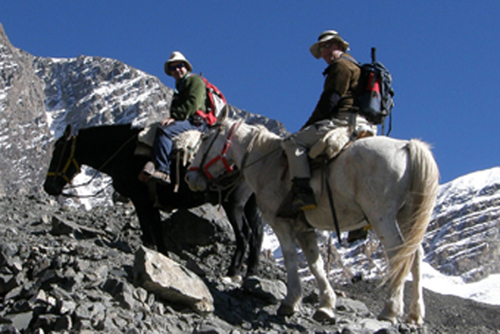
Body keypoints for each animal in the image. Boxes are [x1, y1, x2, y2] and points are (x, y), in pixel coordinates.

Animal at [43, 124, 264, 278]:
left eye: (58, 151)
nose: (48, 187)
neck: (122, 152)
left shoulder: (140, 199)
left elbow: (149, 231)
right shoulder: (150, 202)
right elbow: (156, 231)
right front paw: (161, 257)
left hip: (233, 203)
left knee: (244, 234)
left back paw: (232, 272)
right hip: (250, 205)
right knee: (257, 235)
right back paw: (250, 273)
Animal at [186, 111, 440, 324]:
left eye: (206, 139)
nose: (190, 177)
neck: (266, 163)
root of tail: (407, 146)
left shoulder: (281, 225)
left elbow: (290, 259)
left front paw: (290, 303)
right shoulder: (305, 229)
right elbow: (315, 264)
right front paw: (326, 305)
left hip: (382, 217)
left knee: (399, 254)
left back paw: (390, 309)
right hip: (407, 216)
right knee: (415, 254)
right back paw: (415, 314)